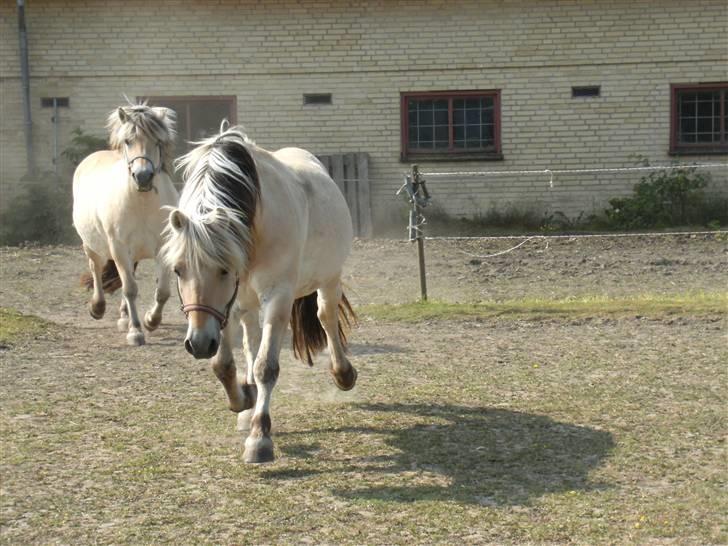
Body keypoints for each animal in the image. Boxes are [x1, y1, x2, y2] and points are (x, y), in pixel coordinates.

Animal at [164, 125, 360, 462]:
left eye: (224, 270)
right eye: (178, 270)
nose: (199, 344)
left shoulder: (277, 297)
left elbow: (265, 367)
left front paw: (260, 438)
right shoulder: (227, 308)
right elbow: (225, 364)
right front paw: (243, 400)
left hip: (328, 278)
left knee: (326, 316)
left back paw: (342, 373)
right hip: (246, 305)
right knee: (251, 341)